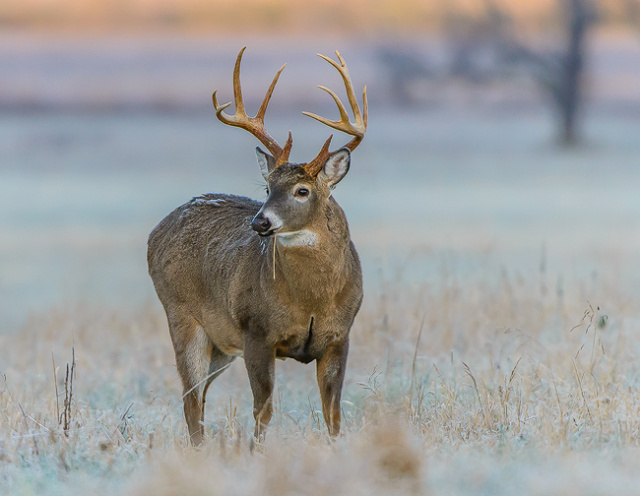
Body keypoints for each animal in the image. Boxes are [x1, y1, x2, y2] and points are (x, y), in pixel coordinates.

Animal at [145, 47, 364, 450]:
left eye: (302, 190)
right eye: (267, 187)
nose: (260, 222)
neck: (312, 300)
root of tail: (156, 231)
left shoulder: (340, 335)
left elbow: (333, 414)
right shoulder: (256, 330)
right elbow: (263, 409)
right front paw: (255, 452)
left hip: (221, 345)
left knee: (198, 397)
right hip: (182, 316)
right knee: (190, 399)